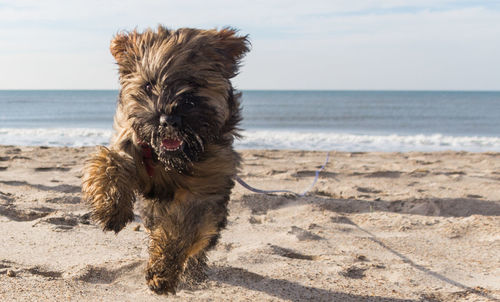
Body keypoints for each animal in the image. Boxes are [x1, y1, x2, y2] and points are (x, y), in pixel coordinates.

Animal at [81, 26, 250, 294]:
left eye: (193, 83)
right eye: (149, 85)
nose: (168, 120)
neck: (170, 161)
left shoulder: (204, 189)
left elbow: (182, 230)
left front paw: (162, 271)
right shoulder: (130, 142)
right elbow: (109, 161)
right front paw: (111, 208)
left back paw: (193, 271)